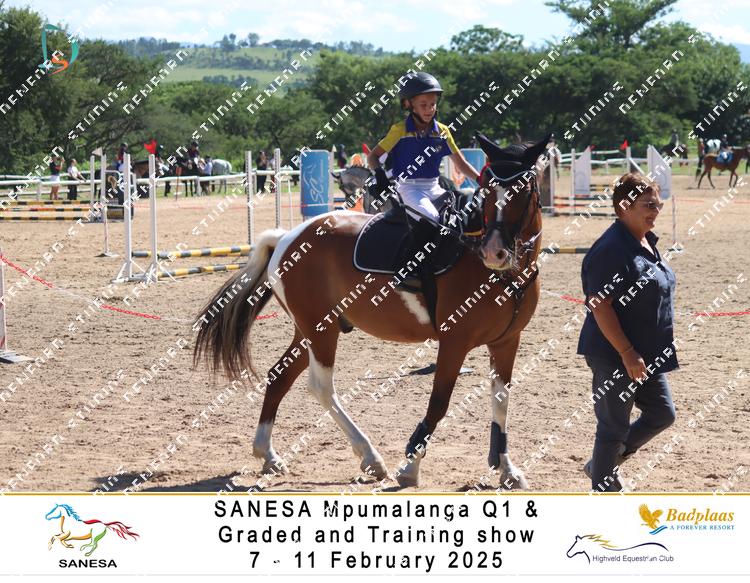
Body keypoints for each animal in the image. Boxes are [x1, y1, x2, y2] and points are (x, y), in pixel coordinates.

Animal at [193, 133, 550, 489]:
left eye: (524, 188)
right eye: (488, 188)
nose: (494, 252)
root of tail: (287, 237)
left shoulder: (507, 342)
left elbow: (501, 402)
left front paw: (507, 469)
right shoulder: (454, 342)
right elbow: (438, 404)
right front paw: (411, 467)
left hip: (309, 331)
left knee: (279, 377)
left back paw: (268, 454)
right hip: (321, 331)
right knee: (321, 387)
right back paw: (370, 457)